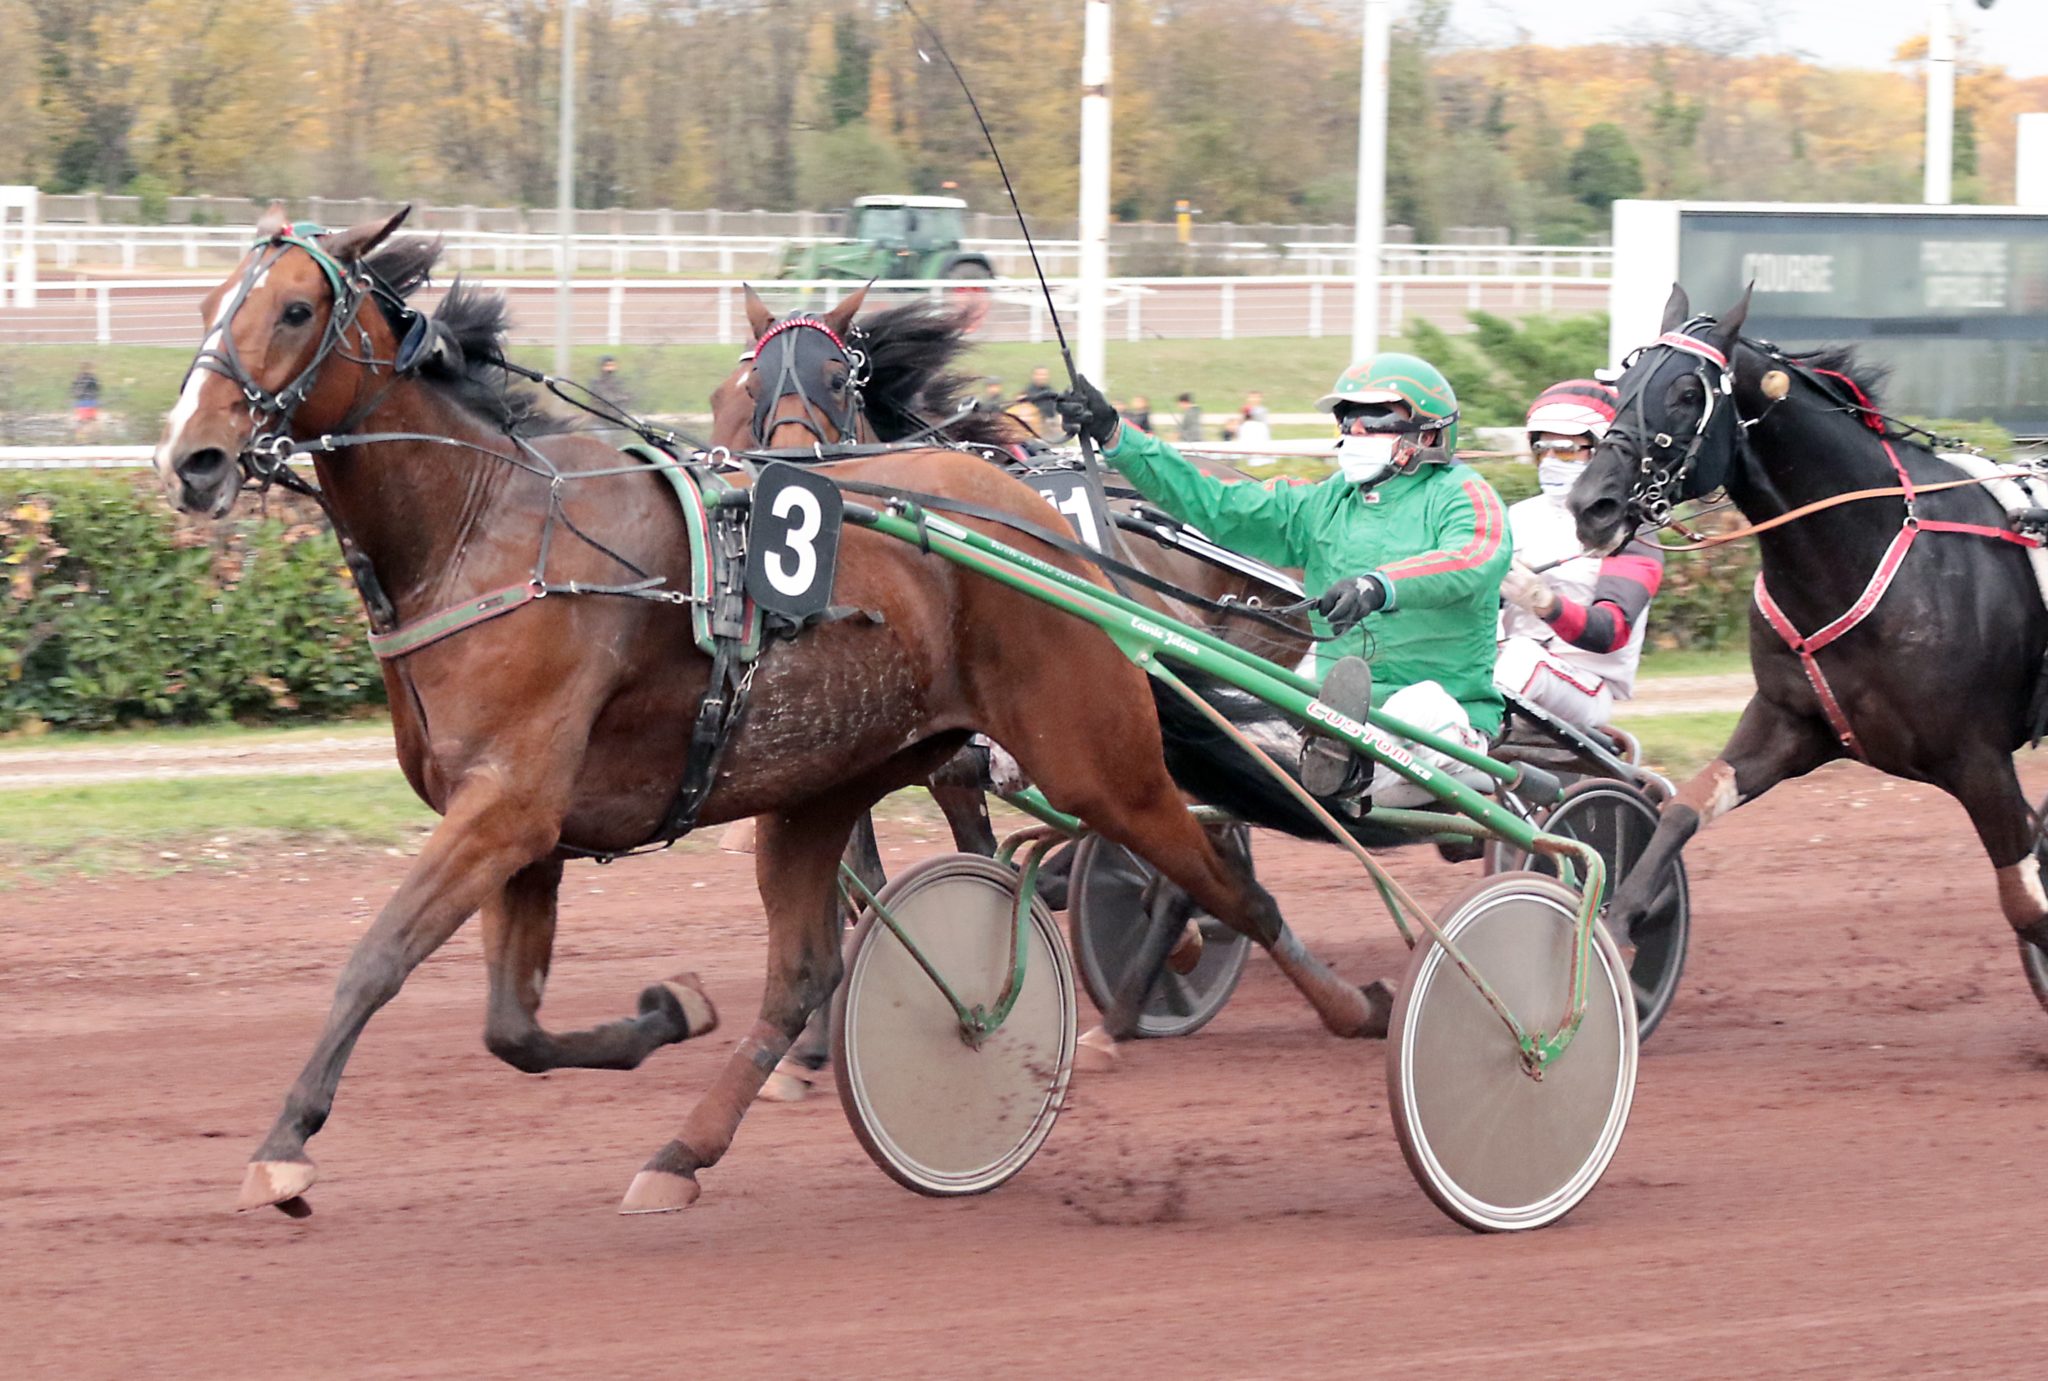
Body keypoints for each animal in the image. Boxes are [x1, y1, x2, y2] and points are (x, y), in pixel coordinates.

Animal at [159, 206, 1384, 1212]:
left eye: (296, 307)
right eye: (210, 304)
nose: (192, 459)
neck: (490, 528)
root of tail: (1033, 516)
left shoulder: (505, 808)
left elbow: (376, 959)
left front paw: (284, 1146)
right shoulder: (525, 827)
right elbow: (514, 1028)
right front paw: (668, 1014)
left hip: (1093, 754)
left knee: (1216, 875)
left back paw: (1356, 1008)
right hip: (819, 786)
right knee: (801, 975)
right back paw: (682, 1153)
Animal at [1564, 284, 2048, 1003]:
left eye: (1686, 392)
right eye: (1622, 385)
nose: (1590, 504)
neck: (1867, 546)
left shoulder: (1979, 758)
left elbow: (2027, 904)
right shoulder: (1791, 721)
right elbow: (1684, 808)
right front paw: (1617, 929)